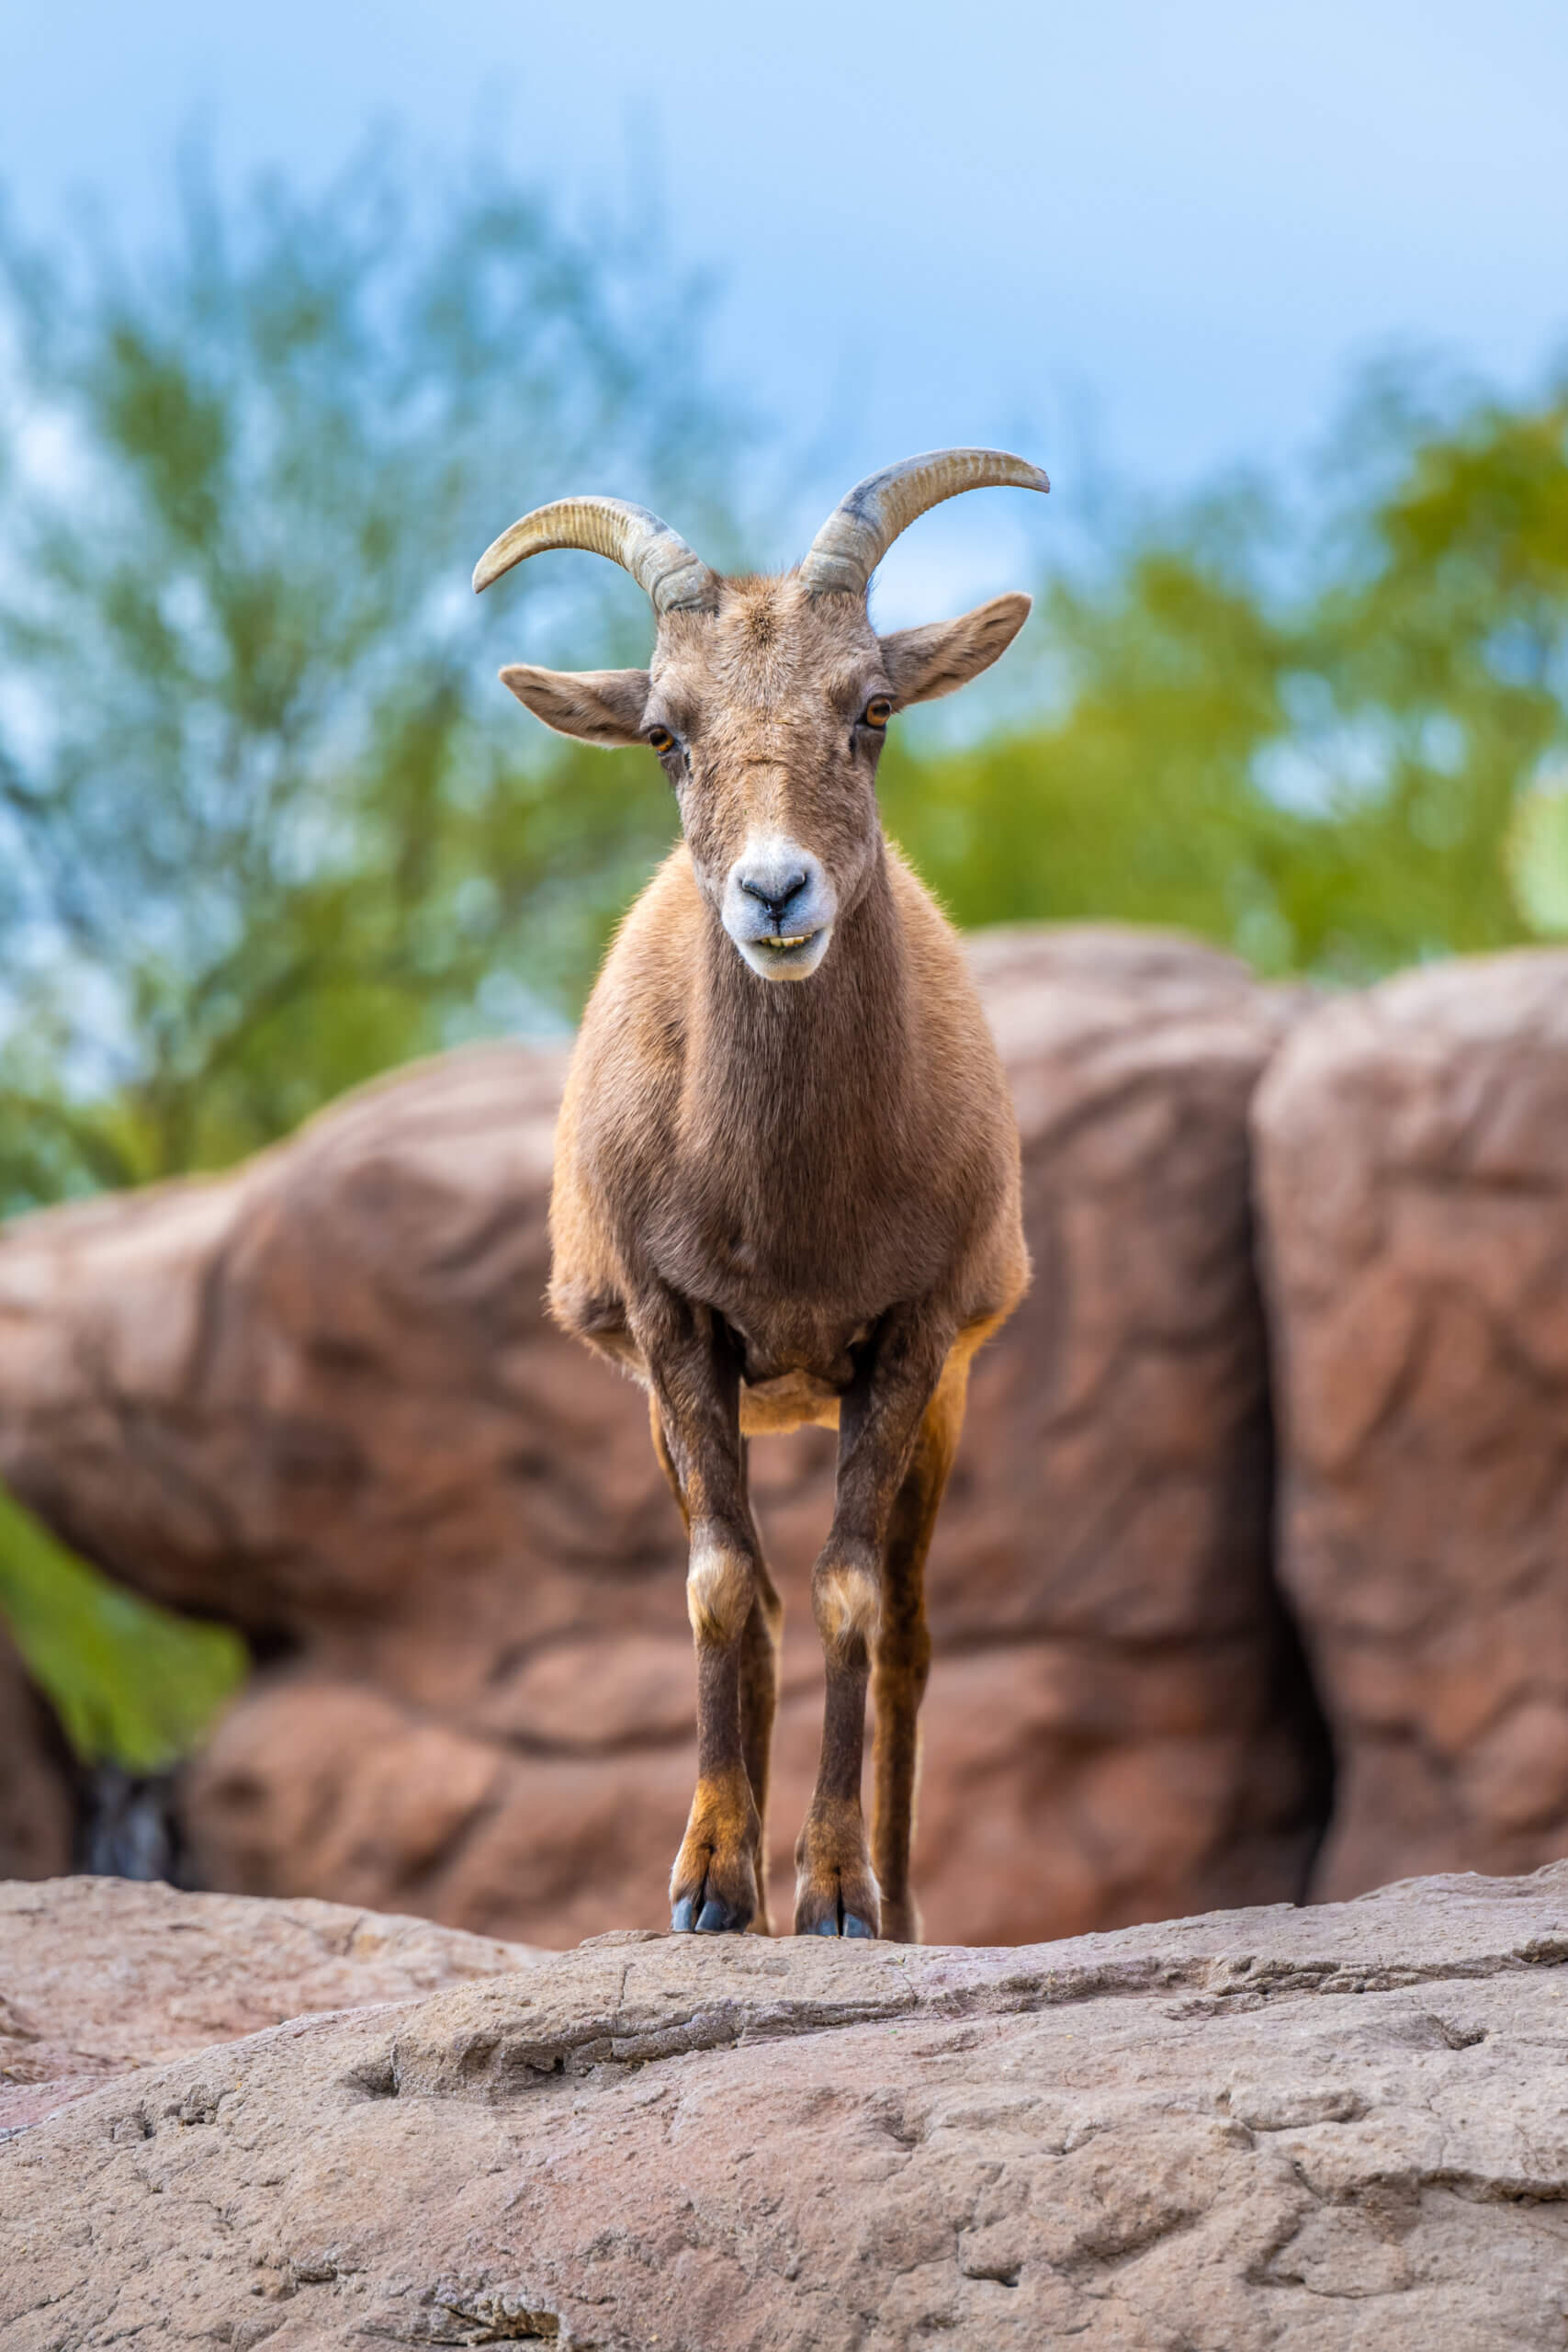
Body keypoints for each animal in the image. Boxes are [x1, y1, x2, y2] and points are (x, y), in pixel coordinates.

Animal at [474, 449, 1046, 1940]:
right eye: (664, 733)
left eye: (874, 708)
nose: (775, 894)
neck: (787, 1205)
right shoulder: (678, 1331)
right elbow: (725, 1587)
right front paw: (711, 1888)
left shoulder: (910, 1341)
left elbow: (852, 1598)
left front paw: (837, 1897)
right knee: (766, 1605)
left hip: (941, 1405)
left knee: (904, 1633)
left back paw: (898, 1913)